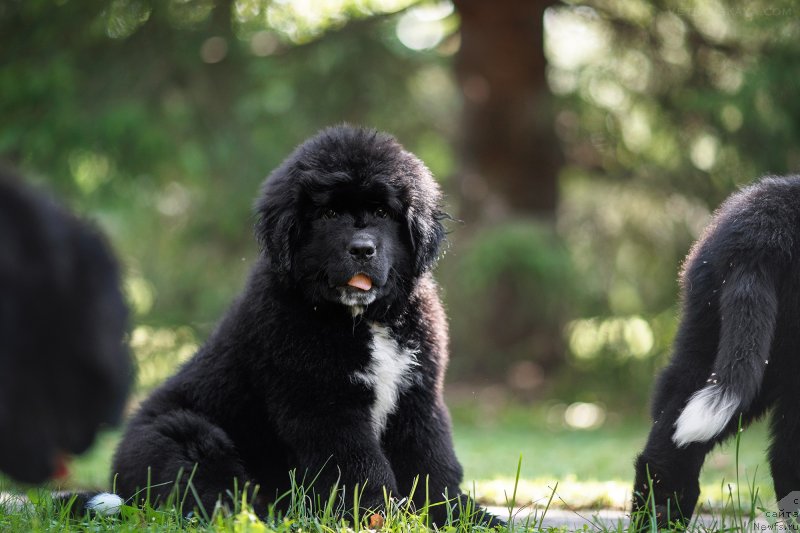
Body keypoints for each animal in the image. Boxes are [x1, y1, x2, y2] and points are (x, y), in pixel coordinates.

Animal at [110, 124, 496, 524]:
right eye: (329, 213)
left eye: (381, 211)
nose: (362, 249)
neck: (365, 319)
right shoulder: (323, 401)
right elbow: (357, 463)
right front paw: (376, 513)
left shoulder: (417, 394)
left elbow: (430, 460)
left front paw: (460, 514)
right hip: (184, 434)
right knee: (213, 493)